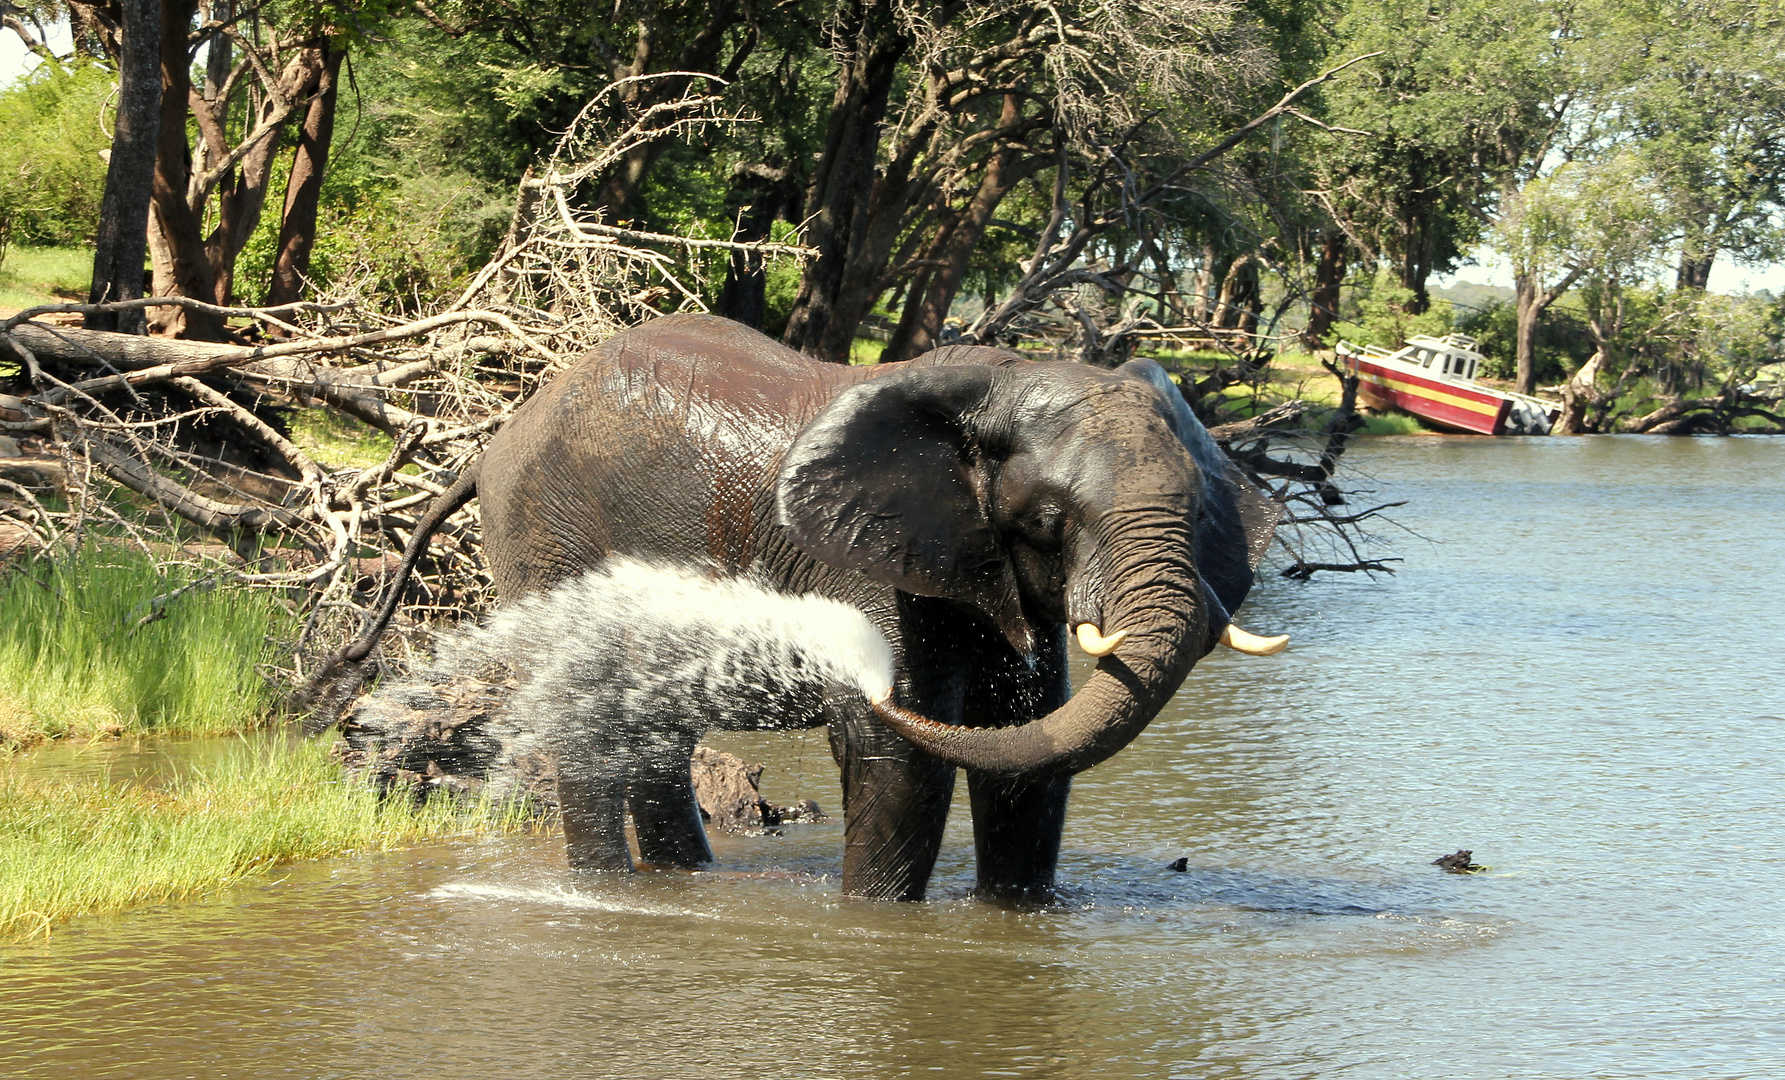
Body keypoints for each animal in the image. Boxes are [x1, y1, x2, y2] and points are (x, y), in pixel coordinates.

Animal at [321, 314, 1292, 899]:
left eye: (1198, 513)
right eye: (1049, 520)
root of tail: (495, 437)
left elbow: (1028, 740)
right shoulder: (870, 569)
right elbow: (900, 760)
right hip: (543, 535)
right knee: (593, 717)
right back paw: (604, 892)